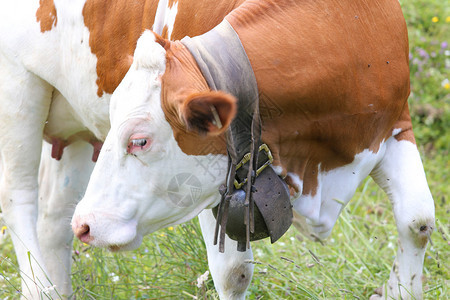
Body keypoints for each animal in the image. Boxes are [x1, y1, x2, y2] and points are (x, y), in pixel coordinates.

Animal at [0, 1, 253, 298]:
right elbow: (232, 270)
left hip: (74, 119)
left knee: (55, 216)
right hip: (17, 88)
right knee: (18, 197)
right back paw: (39, 289)